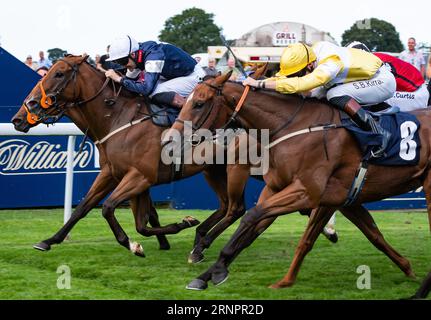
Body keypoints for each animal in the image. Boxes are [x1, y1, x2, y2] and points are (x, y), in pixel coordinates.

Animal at [167, 71, 430, 292]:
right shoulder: (301, 193)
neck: (294, 127)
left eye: (199, 103)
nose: (170, 137)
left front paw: (216, 266)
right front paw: (206, 274)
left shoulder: (307, 192)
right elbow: (372, 235)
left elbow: (252, 218)